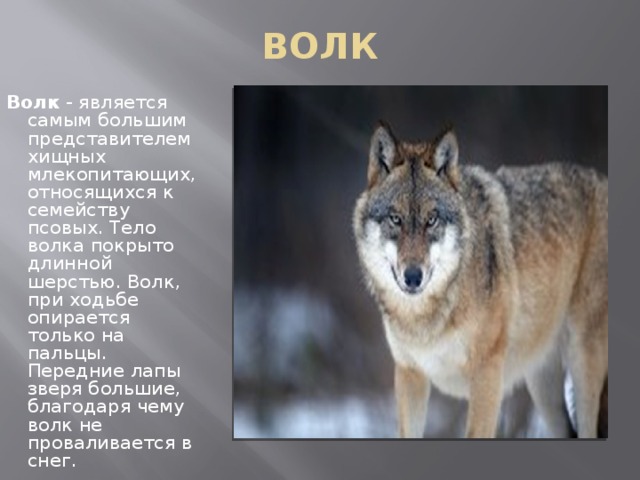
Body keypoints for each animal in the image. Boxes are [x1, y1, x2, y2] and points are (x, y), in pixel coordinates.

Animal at [353, 122, 608, 438]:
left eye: (432, 220)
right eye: (395, 219)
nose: (413, 277)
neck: (425, 319)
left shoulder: (487, 373)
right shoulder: (410, 373)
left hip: (583, 361)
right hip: (542, 384)